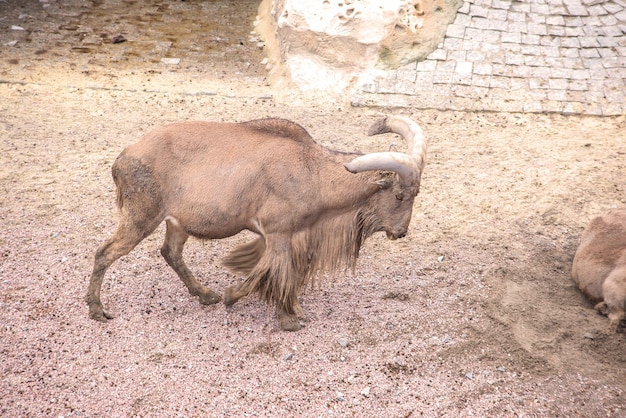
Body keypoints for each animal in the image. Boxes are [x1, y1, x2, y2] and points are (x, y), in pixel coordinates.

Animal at [86, 115, 424, 330]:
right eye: (399, 195)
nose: (401, 232)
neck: (313, 173)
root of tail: (122, 159)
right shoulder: (279, 232)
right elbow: (268, 273)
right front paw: (284, 318)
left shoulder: (290, 236)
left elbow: (277, 271)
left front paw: (292, 308)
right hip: (142, 216)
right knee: (104, 252)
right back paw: (97, 310)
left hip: (176, 222)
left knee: (170, 252)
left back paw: (205, 295)